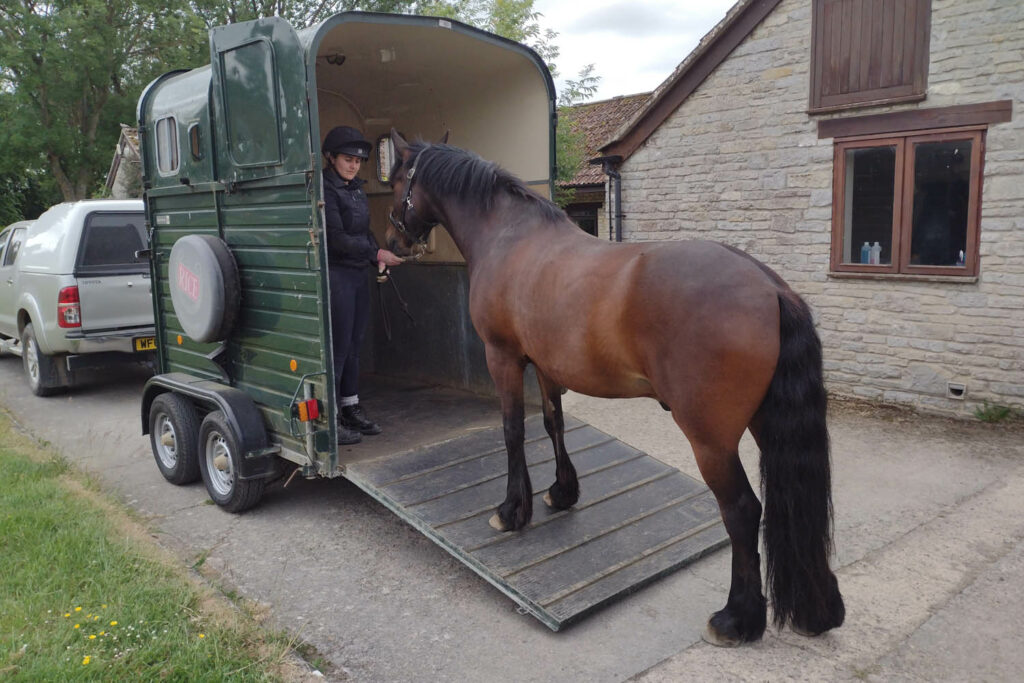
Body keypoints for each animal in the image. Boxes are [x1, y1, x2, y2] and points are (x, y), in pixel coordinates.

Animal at [380, 132, 843, 647]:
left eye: (396, 182)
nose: (393, 242)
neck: (509, 237)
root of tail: (770, 288)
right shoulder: (546, 365)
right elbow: (553, 423)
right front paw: (562, 492)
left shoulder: (503, 358)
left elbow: (513, 430)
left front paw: (512, 510)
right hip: (766, 425)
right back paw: (815, 611)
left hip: (710, 440)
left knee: (742, 511)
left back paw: (735, 619)